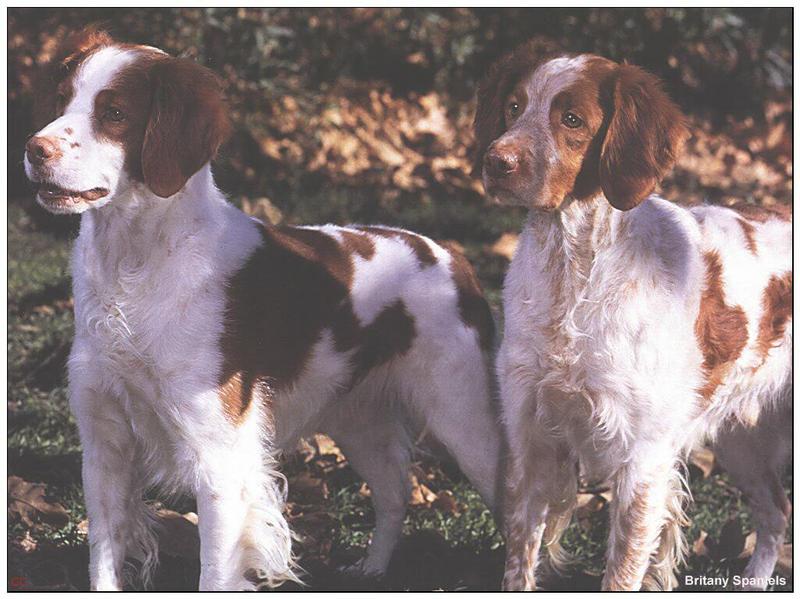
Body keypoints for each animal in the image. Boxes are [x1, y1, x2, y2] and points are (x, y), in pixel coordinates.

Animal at [23, 28, 500, 592]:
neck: (136, 266)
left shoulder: (218, 455)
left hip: (464, 420)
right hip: (360, 422)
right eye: (61, 101)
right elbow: (104, 555)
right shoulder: (103, 443)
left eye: (114, 113)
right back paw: (372, 569)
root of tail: (451, 256)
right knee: (394, 494)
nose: (33, 148)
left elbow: (214, 569)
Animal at [476, 41, 792, 592]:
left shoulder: (642, 459)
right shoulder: (528, 438)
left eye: (572, 119)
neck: (575, 276)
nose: (497, 161)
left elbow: (622, 569)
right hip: (743, 440)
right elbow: (520, 558)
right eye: (514, 107)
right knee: (774, 514)